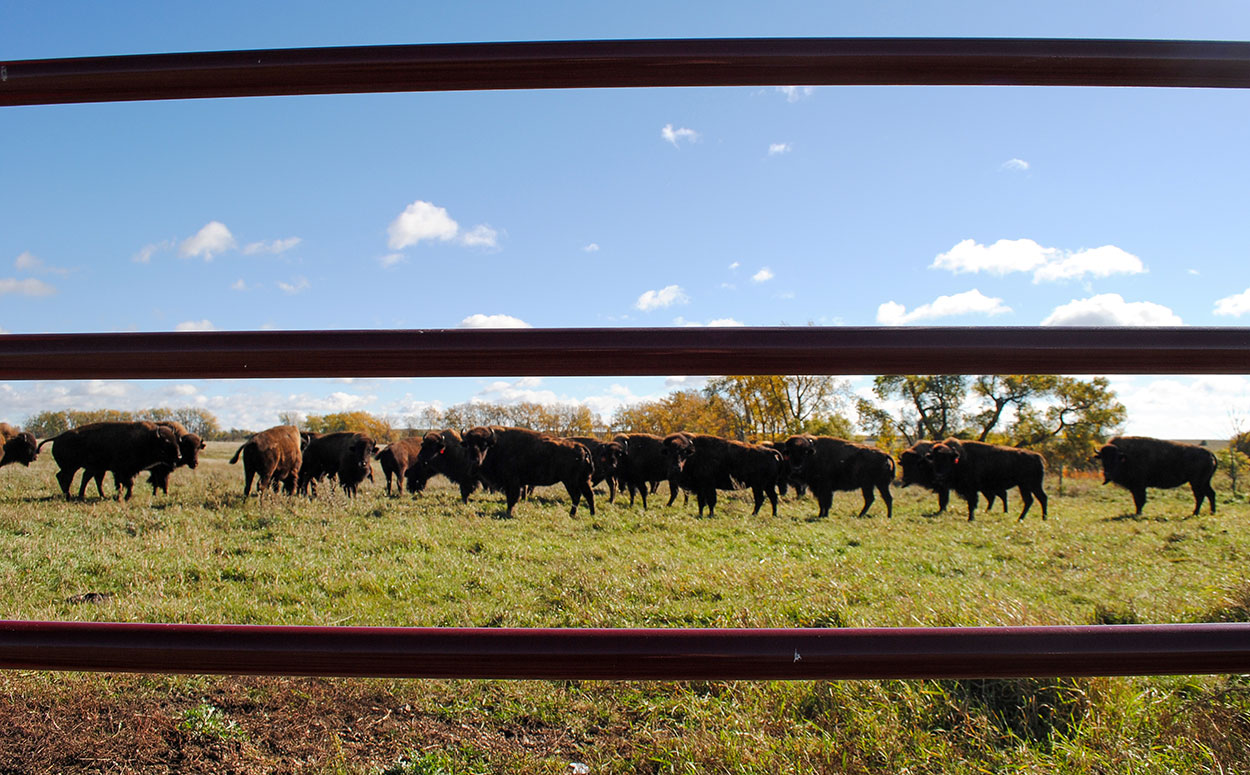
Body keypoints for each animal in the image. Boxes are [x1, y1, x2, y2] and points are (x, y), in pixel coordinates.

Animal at [37, 420, 181, 500]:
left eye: (175, 439)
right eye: (166, 442)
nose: (179, 456)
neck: (147, 439)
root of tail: (57, 437)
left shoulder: (125, 471)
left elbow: (125, 483)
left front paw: (123, 496)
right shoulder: (122, 471)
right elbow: (127, 483)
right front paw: (125, 497)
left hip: (92, 468)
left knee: (87, 479)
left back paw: (89, 495)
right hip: (72, 467)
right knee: (65, 478)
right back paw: (69, 496)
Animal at [462, 427, 592, 517]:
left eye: (484, 445)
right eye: (468, 445)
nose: (475, 460)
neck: (495, 445)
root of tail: (579, 446)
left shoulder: (512, 483)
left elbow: (512, 498)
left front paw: (509, 512)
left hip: (570, 482)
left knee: (577, 496)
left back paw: (573, 514)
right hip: (582, 481)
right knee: (588, 494)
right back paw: (590, 514)